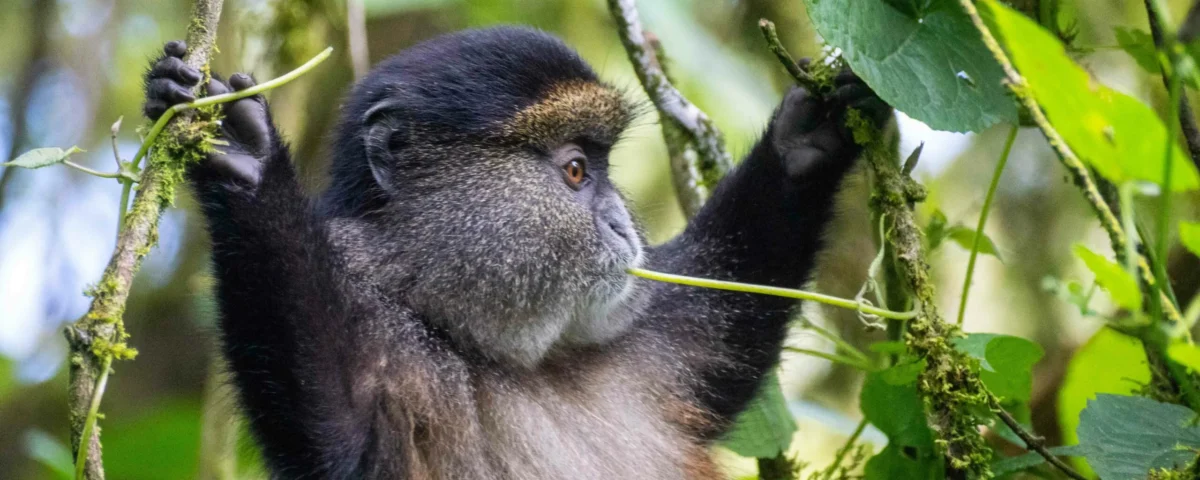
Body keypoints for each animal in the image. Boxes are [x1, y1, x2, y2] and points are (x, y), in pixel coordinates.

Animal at [144, 27, 889, 479]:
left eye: (600, 167)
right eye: (576, 172)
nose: (622, 224)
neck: (476, 340)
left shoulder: (645, 352)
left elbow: (725, 331)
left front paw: (808, 135)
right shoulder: (375, 339)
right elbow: (334, 436)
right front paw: (243, 158)